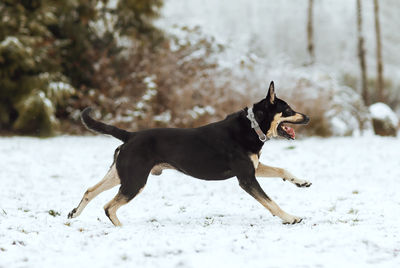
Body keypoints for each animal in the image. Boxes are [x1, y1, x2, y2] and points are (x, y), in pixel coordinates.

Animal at [68, 80, 312, 225]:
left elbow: (282, 170)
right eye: (288, 110)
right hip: (135, 181)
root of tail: (130, 135)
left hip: (120, 174)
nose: (308, 117)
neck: (252, 127)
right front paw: (290, 217)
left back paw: (73, 214)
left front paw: (301, 182)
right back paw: (121, 228)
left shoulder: (254, 168)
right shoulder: (246, 179)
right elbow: (271, 202)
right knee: (108, 206)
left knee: (90, 190)